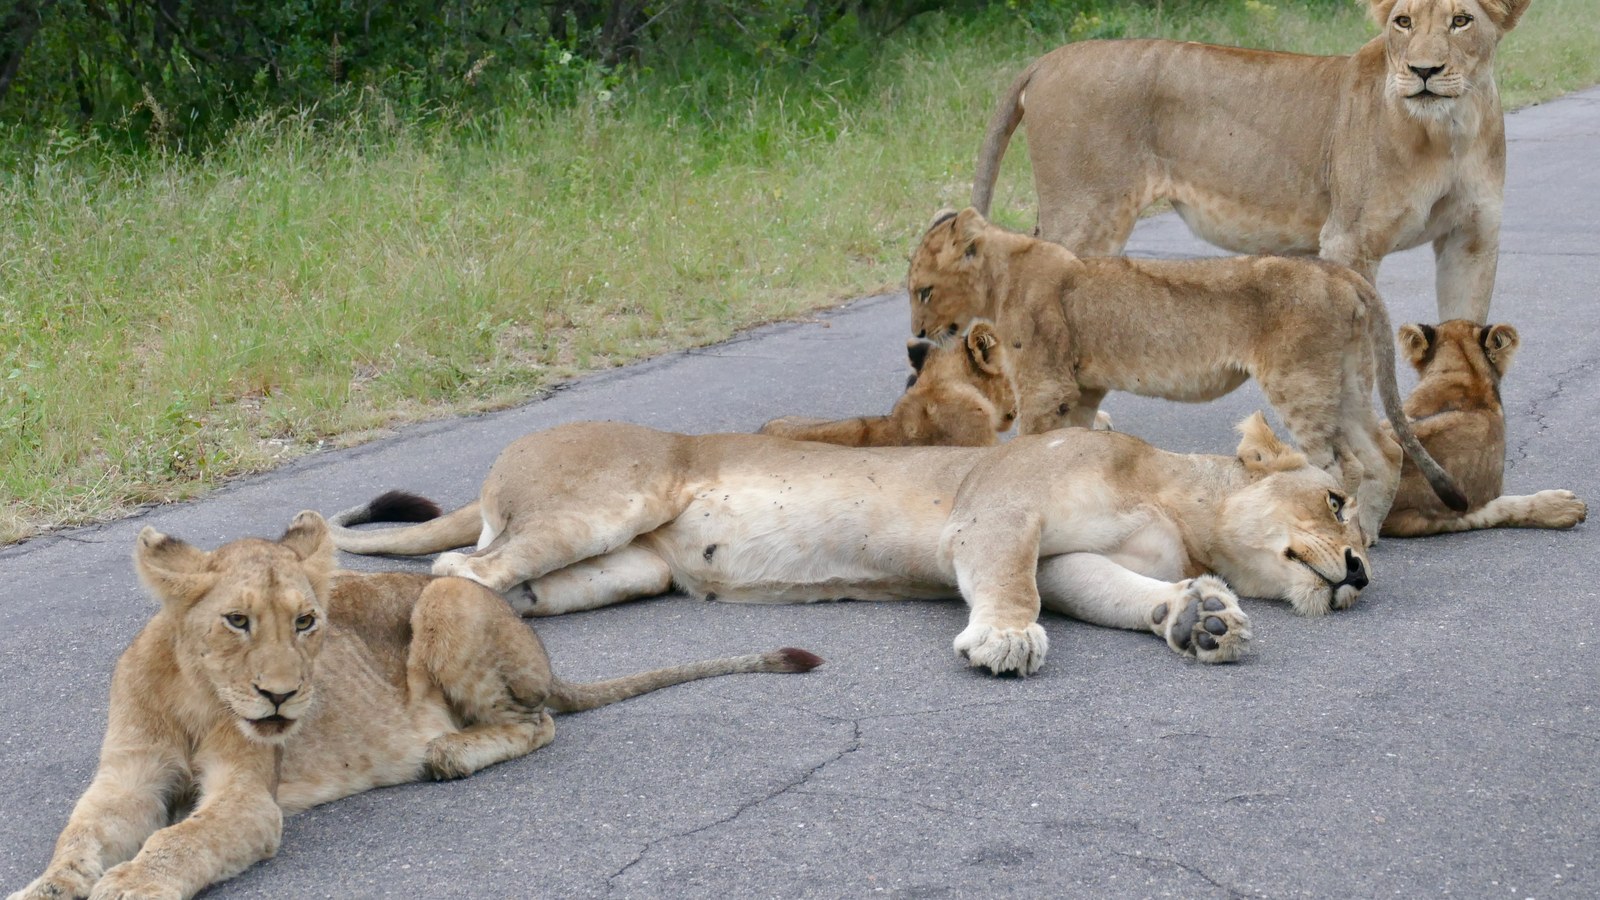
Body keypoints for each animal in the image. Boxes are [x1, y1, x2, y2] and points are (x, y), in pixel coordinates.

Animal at [9, 516, 820, 900]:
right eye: (236, 621)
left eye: (307, 622)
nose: (282, 694)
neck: (192, 691)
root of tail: (546, 655)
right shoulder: (126, 780)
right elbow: (78, 836)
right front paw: (47, 887)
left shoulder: (250, 797)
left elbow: (181, 839)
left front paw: (129, 883)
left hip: (447, 599)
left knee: (536, 722)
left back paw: (447, 753)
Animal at [325, 412, 1376, 681]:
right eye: (1337, 501)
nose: (1363, 571)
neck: (1175, 502)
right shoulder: (1000, 514)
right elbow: (1013, 590)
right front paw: (1004, 641)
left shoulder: (1068, 557)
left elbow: (1108, 594)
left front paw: (1198, 619)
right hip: (605, 504)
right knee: (457, 566)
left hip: (629, 567)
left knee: (501, 579)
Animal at [908, 208, 1469, 538]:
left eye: (923, 291)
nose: (915, 336)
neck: (1002, 275)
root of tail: (1341, 273)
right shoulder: (1082, 389)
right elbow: (1072, 446)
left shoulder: (1045, 385)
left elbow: (1030, 446)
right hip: (1345, 382)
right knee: (1385, 452)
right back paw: (1367, 534)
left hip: (1300, 382)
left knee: (1333, 466)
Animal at [972, 0, 1529, 323]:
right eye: (1403, 22)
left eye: (1461, 21)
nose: (1424, 71)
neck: (1447, 132)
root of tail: (1048, 59)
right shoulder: (1349, 242)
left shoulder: (1471, 239)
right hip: (1087, 216)